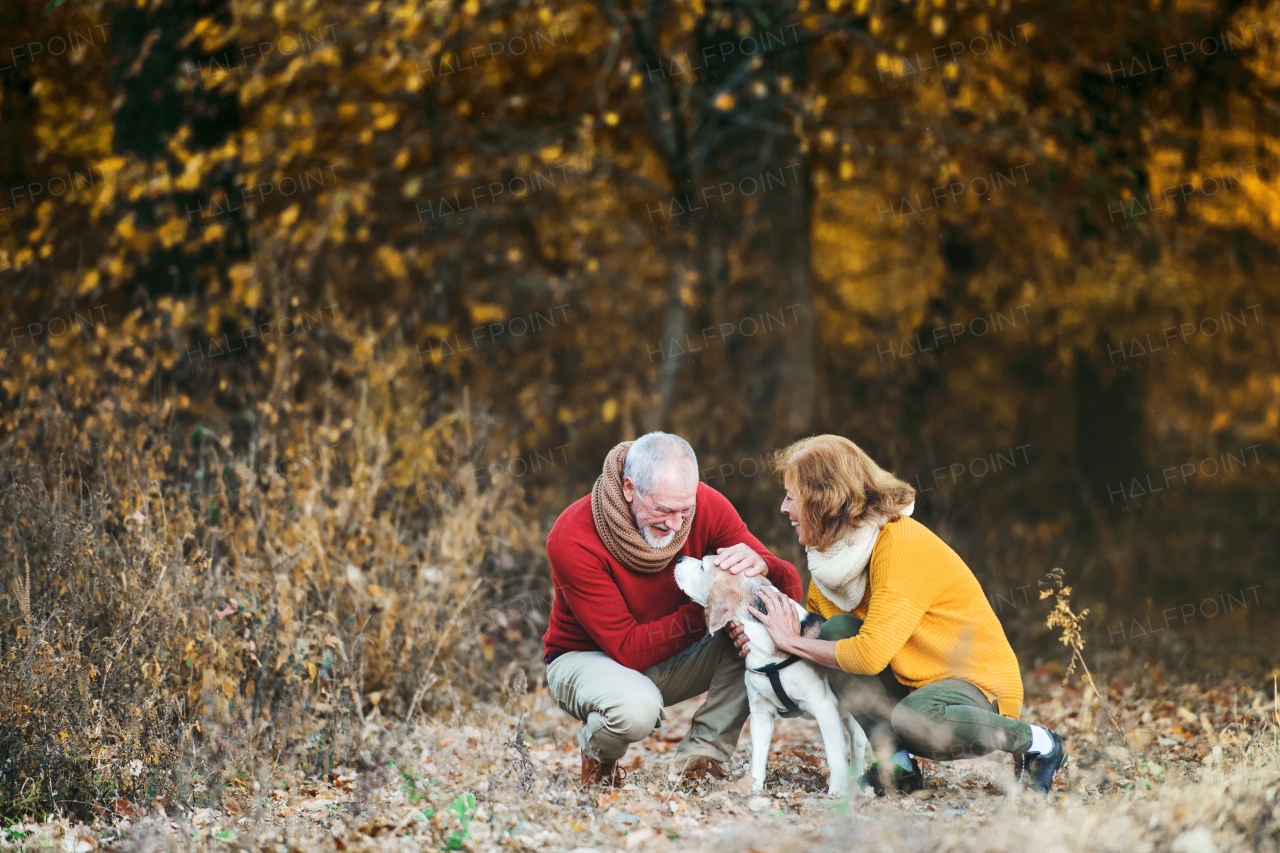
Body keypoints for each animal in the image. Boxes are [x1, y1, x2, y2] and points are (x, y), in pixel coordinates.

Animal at [670, 555, 870, 794]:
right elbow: (758, 756)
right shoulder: (760, 712)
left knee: (858, 741)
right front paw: (753, 787)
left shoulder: (824, 708)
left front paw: (836, 794)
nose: (680, 558)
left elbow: (835, 756)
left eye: (703, 566)